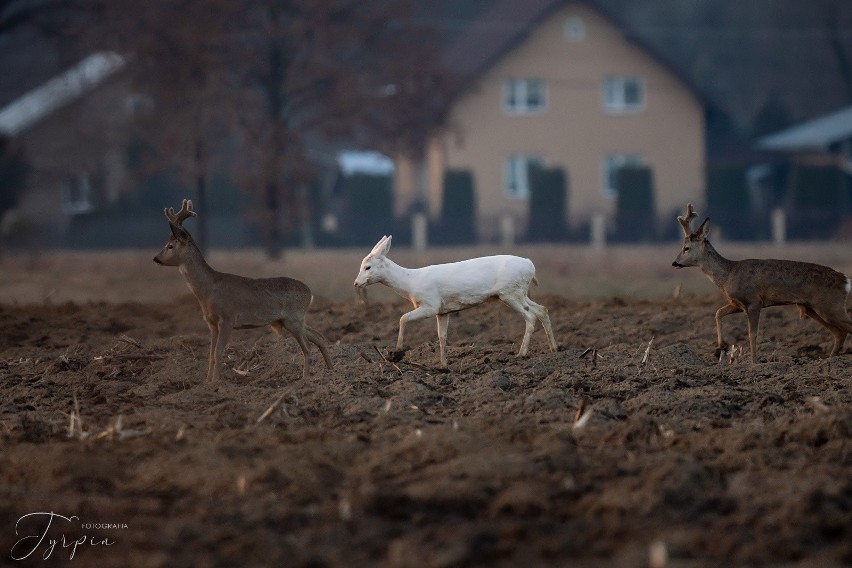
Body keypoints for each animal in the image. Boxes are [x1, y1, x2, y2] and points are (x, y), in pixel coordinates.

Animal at [151, 200, 332, 382]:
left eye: (170, 246)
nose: (156, 258)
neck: (209, 289)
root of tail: (309, 293)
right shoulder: (211, 323)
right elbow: (210, 354)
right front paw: (207, 383)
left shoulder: (227, 318)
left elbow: (218, 353)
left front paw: (216, 383)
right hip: (289, 320)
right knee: (319, 337)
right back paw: (330, 370)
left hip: (293, 318)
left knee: (307, 347)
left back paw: (306, 378)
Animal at [352, 235, 560, 368]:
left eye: (367, 267)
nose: (356, 283)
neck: (411, 283)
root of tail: (531, 266)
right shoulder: (443, 311)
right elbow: (442, 337)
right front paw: (444, 365)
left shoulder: (430, 304)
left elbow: (403, 318)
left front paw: (397, 352)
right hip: (519, 292)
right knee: (542, 310)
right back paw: (554, 348)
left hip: (509, 292)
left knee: (530, 317)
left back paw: (521, 353)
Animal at [672, 204, 852, 362]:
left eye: (686, 248)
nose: (674, 263)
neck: (728, 274)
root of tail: (844, 280)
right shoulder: (737, 303)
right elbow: (718, 312)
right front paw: (720, 347)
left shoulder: (753, 301)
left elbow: (752, 334)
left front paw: (754, 363)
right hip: (814, 308)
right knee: (839, 333)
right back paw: (829, 360)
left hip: (830, 305)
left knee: (846, 328)